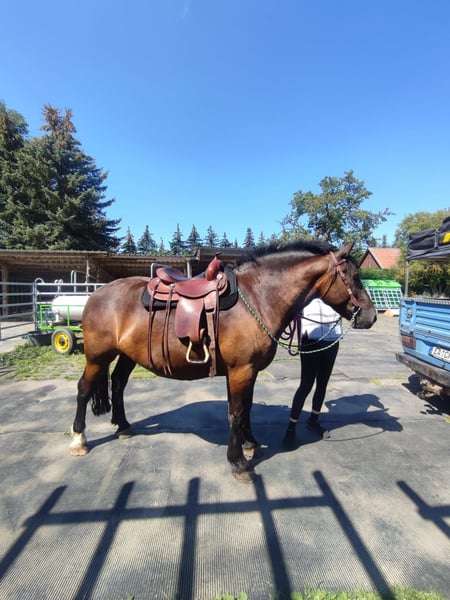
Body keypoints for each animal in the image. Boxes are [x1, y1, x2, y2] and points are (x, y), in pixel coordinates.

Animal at [69, 240, 376, 482]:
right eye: (353, 275)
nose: (370, 316)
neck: (258, 296)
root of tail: (96, 294)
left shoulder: (247, 372)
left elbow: (246, 409)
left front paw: (250, 443)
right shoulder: (241, 370)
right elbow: (236, 413)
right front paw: (239, 462)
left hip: (126, 355)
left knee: (118, 383)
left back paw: (123, 426)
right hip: (98, 356)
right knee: (84, 389)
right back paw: (79, 439)